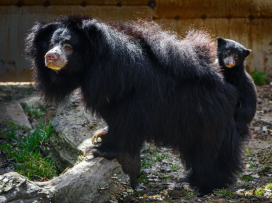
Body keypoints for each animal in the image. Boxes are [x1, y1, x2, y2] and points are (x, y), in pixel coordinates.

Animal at [25, 15, 242, 193]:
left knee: (209, 150)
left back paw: (202, 184)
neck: (94, 66)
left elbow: (126, 121)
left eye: (68, 47)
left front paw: (100, 150)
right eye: (51, 44)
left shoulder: (127, 92)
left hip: (206, 116)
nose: (50, 57)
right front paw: (100, 134)